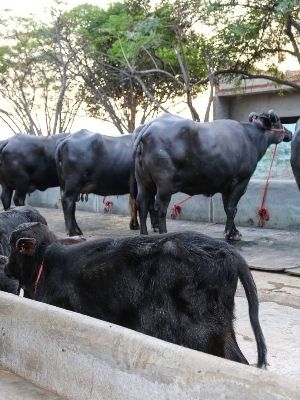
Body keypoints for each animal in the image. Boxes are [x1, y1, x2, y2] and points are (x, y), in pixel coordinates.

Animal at [4, 223, 268, 368]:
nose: (5, 264)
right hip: (222, 328)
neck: (45, 265)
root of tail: (225, 250)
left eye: (13, 246)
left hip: (202, 333)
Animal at [133, 111, 290, 239]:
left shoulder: (226, 187)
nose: (289, 133)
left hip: (143, 183)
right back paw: (164, 233)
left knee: (142, 205)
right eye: (277, 120)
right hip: (164, 186)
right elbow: (232, 208)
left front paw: (232, 231)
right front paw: (231, 234)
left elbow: (229, 209)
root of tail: (148, 127)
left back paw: (143, 234)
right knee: (160, 208)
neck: (251, 138)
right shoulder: (241, 181)